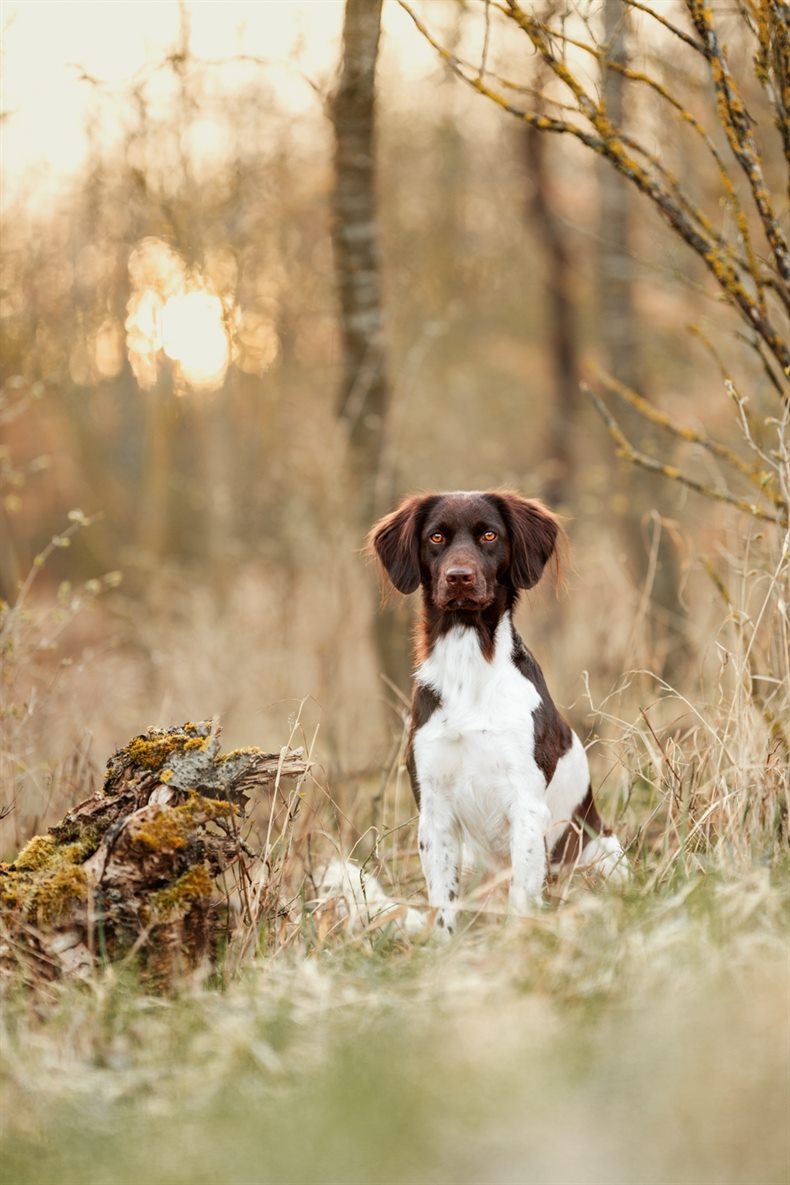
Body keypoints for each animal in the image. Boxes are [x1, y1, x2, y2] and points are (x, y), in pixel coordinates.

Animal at [371, 490, 630, 933]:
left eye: (489, 535)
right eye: (436, 537)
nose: (459, 577)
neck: (469, 665)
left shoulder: (526, 805)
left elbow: (522, 899)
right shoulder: (434, 810)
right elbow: (443, 906)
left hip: (602, 854)